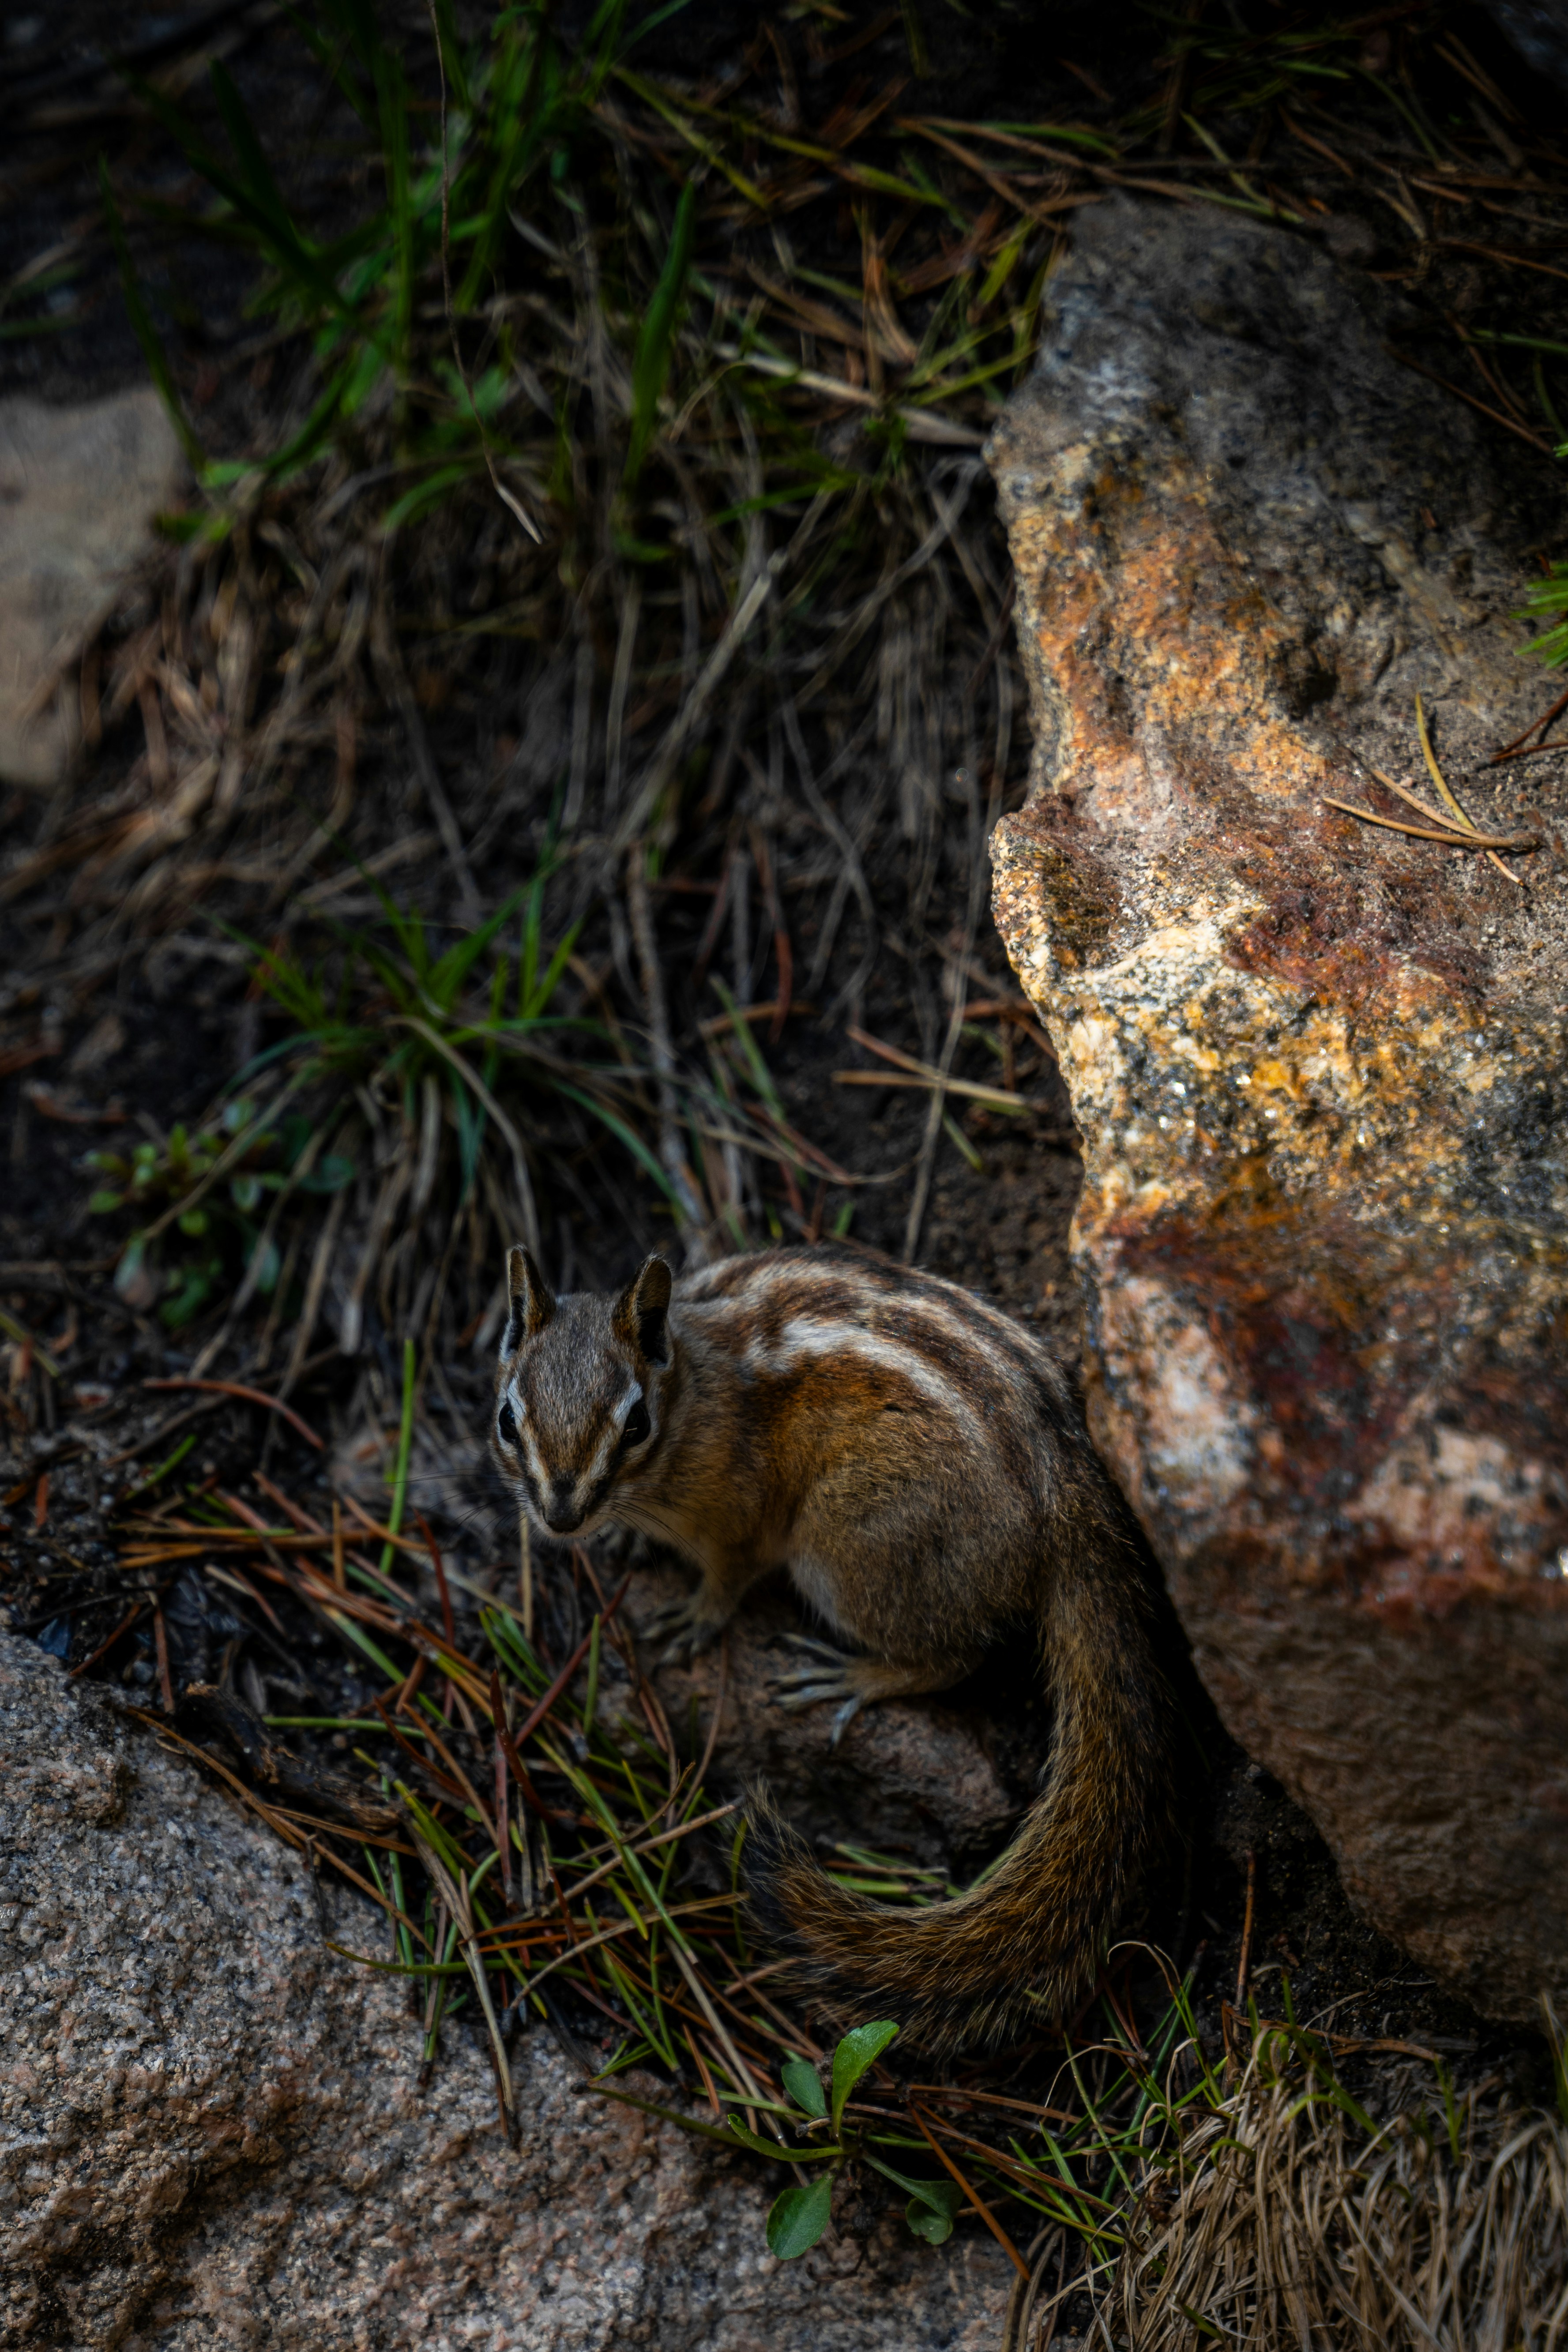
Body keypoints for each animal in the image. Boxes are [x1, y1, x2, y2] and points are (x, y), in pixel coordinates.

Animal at [490, 1239, 1174, 2055]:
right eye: (507, 1419)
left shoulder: (738, 1517)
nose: (561, 1516)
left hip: (847, 1545)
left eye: (634, 1425)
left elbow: (730, 1576)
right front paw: (622, 1539)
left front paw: (696, 1617)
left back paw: (854, 1677)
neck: (695, 1390)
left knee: (955, 1655)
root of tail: (1070, 1498)